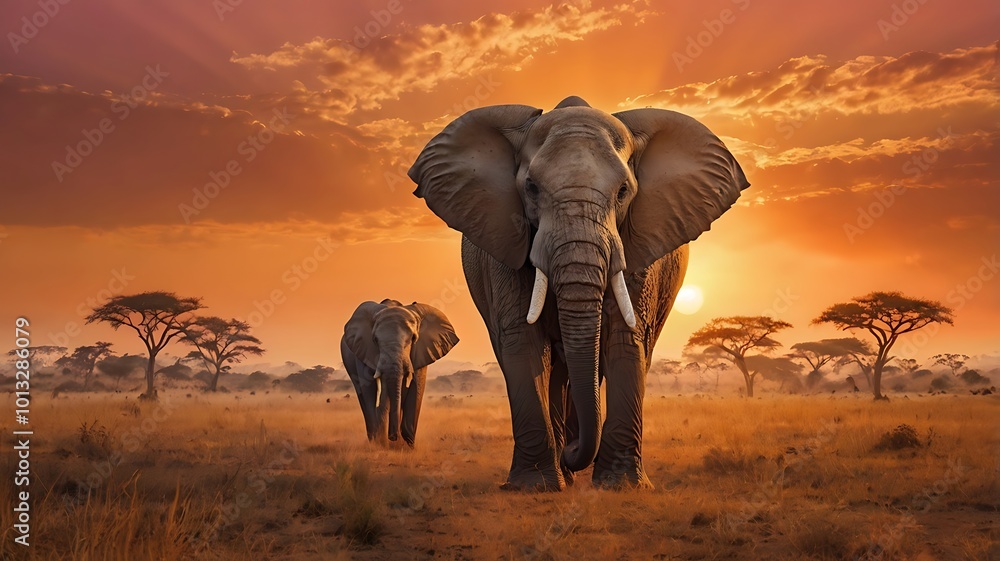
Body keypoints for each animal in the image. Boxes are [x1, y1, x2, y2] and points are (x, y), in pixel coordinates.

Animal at [341, 299, 459, 446]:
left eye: (413, 338)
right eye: (375, 340)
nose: (393, 436)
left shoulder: (421, 351)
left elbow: (416, 388)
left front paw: (408, 445)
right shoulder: (364, 350)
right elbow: (371, 389)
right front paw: (379, 444)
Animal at [408, 96, 748, 490]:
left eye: (623, 191)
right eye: (531, 188)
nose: (573, 452)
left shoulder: (636, 245)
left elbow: (625, 337)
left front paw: (621, 486)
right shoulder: (505, 238)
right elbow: (523, 341)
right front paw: (534, 486)